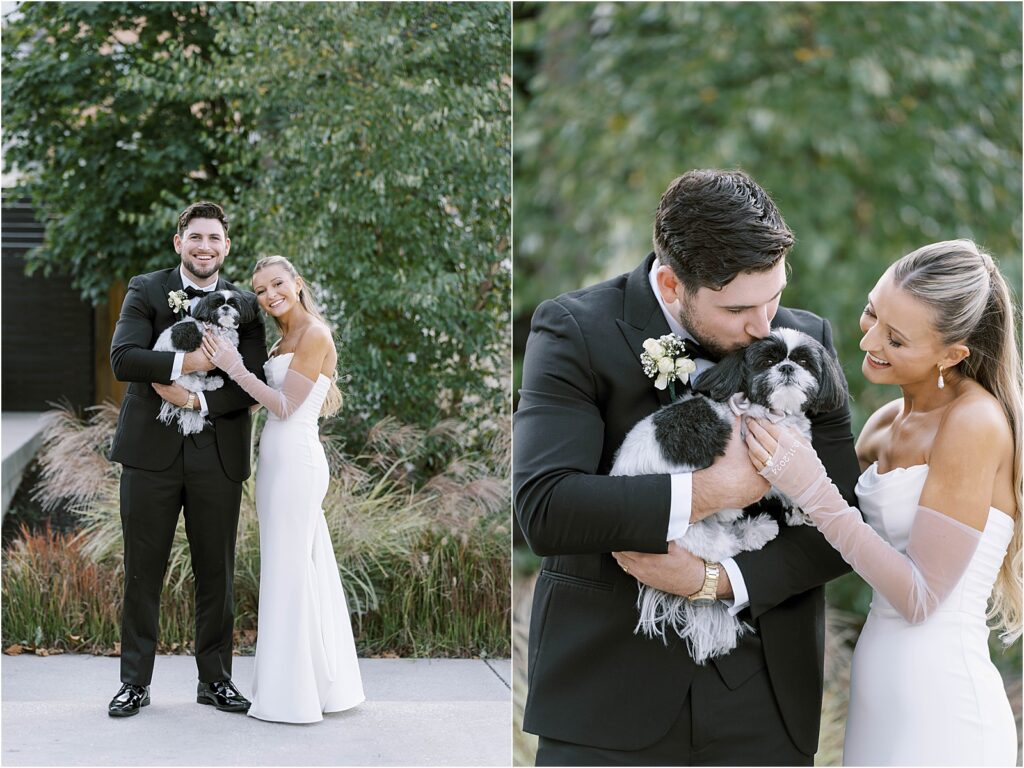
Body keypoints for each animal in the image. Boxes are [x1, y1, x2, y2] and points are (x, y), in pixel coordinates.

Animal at [153, 290, 253, 436]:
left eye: (233, 304)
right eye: (217, 304)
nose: (225, 307)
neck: (219, 327)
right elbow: (234, 356)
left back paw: (213, 382)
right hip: (186, 380)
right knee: (199, 387)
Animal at [610, 327, 843, 663]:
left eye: (803, 362)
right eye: (767, 361)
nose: (787, 368)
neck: (772, 412)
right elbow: (787, 480)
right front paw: (801, 506)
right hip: (691, 534)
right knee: (725, 546)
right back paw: (758, 531)